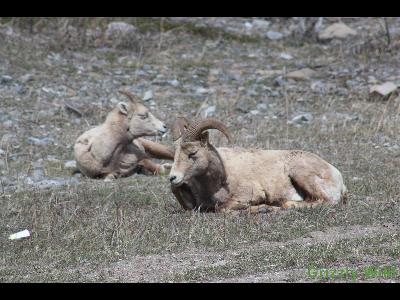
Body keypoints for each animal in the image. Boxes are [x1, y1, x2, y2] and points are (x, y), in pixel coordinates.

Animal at [169, 117, 346, 213]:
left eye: (192, 153)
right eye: (175, 154)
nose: (173, 178)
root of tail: (338, 176)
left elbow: (223, 208)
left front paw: (264, 208)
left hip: (301, 174)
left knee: (325, 200)